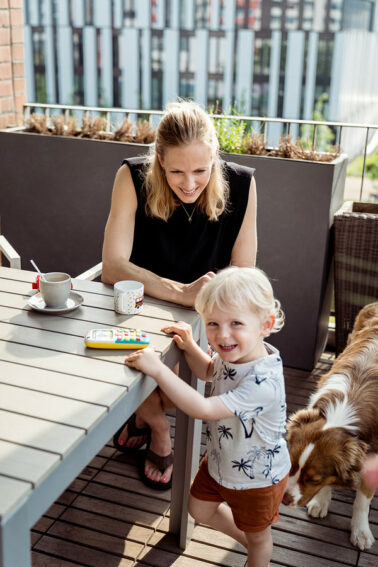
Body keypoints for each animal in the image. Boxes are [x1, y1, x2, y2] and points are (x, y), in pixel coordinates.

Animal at [284, 302, 378, 552]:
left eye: (313, 479)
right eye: (290, 465)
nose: (285, 499)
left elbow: (363, 498)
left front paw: (360, 532)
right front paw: (321, 501)